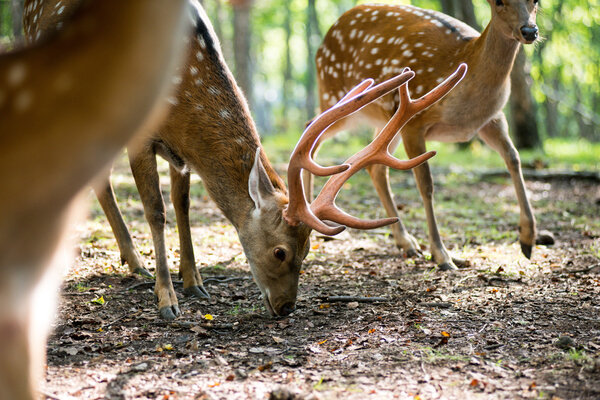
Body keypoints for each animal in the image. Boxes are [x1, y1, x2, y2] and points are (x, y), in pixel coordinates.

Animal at [23, 0, 466, 320]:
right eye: (281, 252)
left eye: (308, 250)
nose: (286, 308)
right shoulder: (142, 136)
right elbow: (156, 211)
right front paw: (167, 301)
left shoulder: (182, 154)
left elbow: (183, 207)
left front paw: (195, 282)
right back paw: (132, 263)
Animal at [310, 0, 544, 270]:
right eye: (498, 2)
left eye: (536, 1)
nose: (529, 31)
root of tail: (324, 40)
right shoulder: (414, 122)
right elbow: (426, 185)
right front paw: (442, 255)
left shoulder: (492, 119)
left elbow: (514, 159)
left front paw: (527, 239)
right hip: (336, 94)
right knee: (312, 130)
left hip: (386, 118)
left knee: (375, 167)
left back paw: (405, 242)